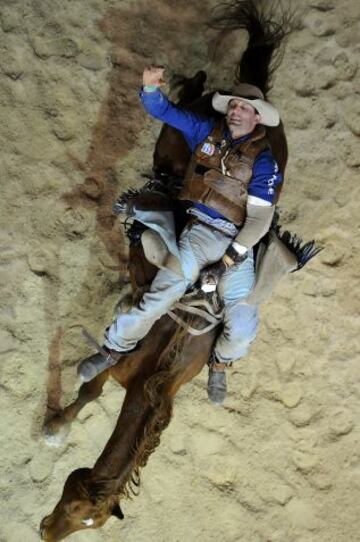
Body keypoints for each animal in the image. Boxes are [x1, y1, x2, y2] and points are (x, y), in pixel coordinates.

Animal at [40, 2, 320, 540]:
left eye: (89, 519)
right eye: (73, 499)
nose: (45, 531)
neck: (157, 370)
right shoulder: (118, 363)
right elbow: (90, 385)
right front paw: (55, 426)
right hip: (180, 121)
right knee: (184, 100)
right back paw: (182, 86)